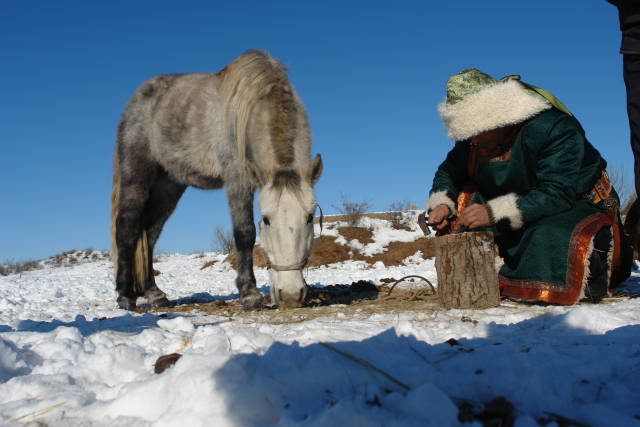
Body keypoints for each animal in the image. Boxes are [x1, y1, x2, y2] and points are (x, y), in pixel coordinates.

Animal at [110, 49, 322, 310]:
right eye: (266, 219)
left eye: (310, 217)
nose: (291, 295)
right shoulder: (237, 178)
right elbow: (245, 233)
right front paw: (249, 294)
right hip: (135, 176)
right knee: (127, 229)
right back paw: (125, 296)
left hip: (169, 186)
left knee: (149, 233)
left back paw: (154, 294)